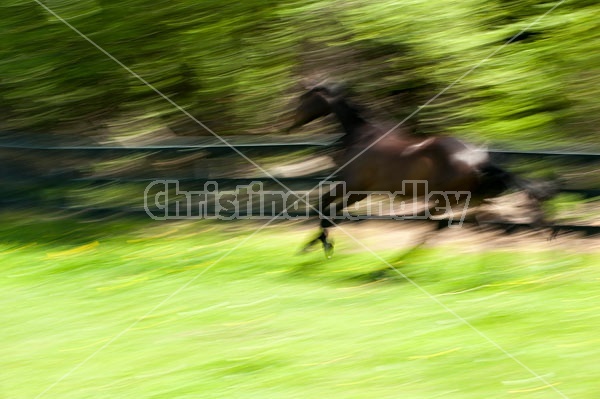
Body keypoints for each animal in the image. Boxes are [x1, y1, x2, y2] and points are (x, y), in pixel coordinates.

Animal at [286, 85, 552, 260]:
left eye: (304, 99)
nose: (291, 122)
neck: (361, 137)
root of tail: (478, 158)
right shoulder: (360, 192)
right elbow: (330, 211)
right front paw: (315, 244)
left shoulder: (351, 185)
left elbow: (322, 206)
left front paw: (321, 244)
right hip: (474, 200)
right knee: (485, 227)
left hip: (446, 199)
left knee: (439, 224)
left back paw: (390, 267)